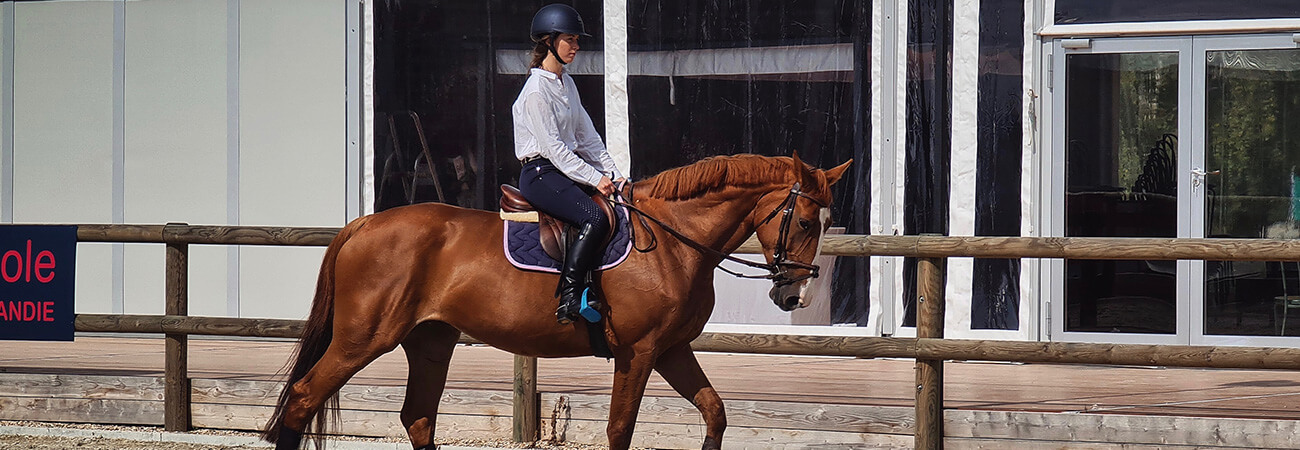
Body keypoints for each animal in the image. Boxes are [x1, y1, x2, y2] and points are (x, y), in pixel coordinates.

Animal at [263, 152, 852, 447]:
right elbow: (619, 429)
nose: (794, 294)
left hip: (430, 342)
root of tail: (365, 223)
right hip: (364, 339)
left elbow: (715, 413)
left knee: (418, 417)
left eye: (825, 223)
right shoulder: (638, 353)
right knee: (304, 397)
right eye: (804, 221)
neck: (673, 241)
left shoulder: (670, 350)